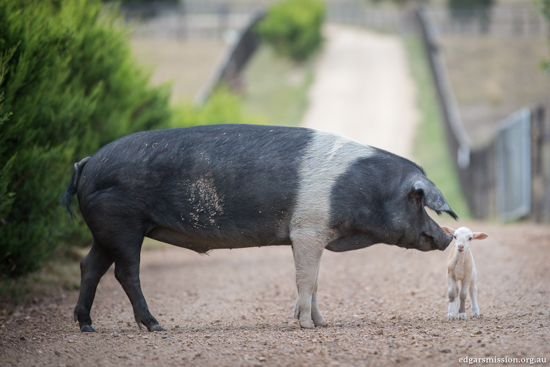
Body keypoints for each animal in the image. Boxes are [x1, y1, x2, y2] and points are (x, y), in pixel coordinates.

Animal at [61, 124, 458, 334]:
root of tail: (85, 164)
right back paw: (156, 326)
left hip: (104, 230)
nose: (448, 236)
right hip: (122, 223)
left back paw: (87, 326)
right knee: (126, 272)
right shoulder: (307, 229)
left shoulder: (311, 234)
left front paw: (322, 323)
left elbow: (314, 282)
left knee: (89, 266)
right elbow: (306, 280)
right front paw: (307, 326)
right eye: (419, 200)